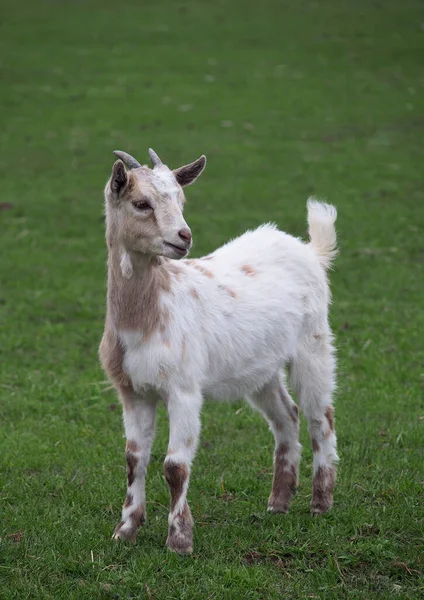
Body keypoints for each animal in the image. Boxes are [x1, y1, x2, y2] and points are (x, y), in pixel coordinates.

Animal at [98, 149, 338, 552]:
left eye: (181, 200)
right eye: (141, 203)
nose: (183, 236)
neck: (146, 317)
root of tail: (310, 250)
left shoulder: (183, 388)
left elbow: (175, 465)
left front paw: (179, 540)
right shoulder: (132, 391)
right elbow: (134, 458)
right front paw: (126, 529)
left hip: (314, 342)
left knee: (321, 417)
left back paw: (321, 503)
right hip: (261, 367)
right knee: (286, 415)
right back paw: (278, 502)